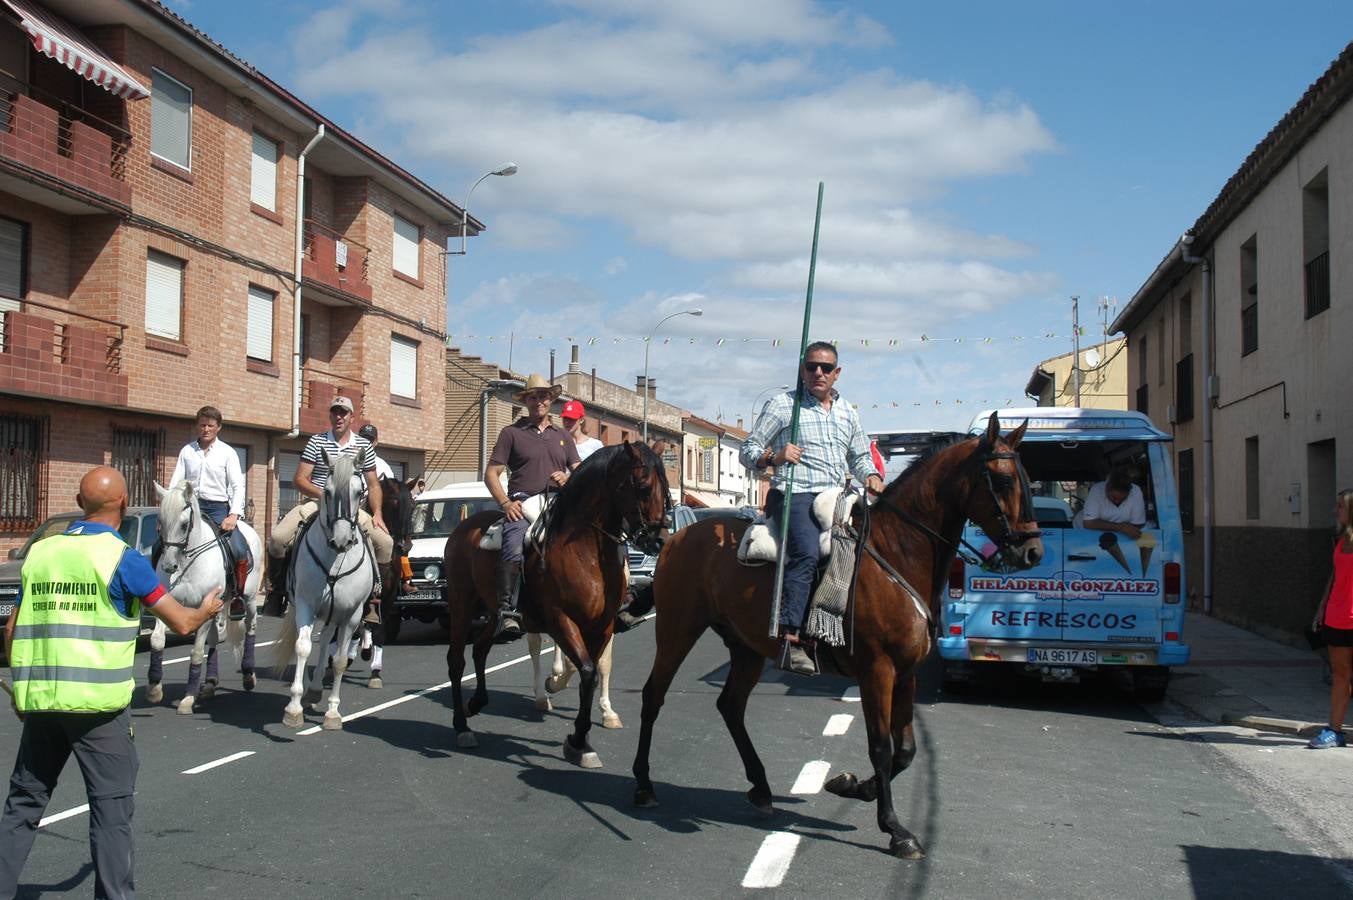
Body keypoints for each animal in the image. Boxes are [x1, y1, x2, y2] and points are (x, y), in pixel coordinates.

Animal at [149, 481, 262, 714]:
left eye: (184, 524)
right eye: (160, 522)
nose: (169, 566)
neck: (187, 564)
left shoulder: (205, 607)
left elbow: (196, 651)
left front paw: (188, 698)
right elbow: (156, 640)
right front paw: (154, 688)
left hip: (249, 599)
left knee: (250, 627)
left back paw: (248, 675)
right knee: (215, 639)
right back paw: (210, 683)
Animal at [273, 452, 376, 736]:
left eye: (359, 491)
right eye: (327, 492)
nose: (341, 540)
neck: (336, 559)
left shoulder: (352, 614)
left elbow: (339, 660)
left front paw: (332, 713)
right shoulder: (305, 605)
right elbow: (302, 647)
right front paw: (293, 708)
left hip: (334, 613)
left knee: (326, 640)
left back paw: (317, 689)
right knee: (309, 642)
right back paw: (310, 690)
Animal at [441, 438, 668, 763]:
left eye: (666, 488)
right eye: (643, 486)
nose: (659, 540)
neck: (586, 551)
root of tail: (463, 526)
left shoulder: (601, 626)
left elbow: (592, 672)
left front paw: (581, 740)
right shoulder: (561, 620)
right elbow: (585, 670)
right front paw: (578, 736)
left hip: (493, 611)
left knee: (481, 649)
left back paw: (477, 702)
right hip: (462, 606)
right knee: (456, 660)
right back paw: (462, 726)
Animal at [627, 414, 1039, 855]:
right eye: (1003, 481)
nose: (1033, 551)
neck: (896, 555)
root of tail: (676, 537)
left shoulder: (906, 674)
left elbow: (906, 750)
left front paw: (854, 786)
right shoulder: (877, 671)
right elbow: (881, 747)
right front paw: (894, 827)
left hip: (746, 648)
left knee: (731, 706)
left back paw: (760, 787)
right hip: (677, 630)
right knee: (653, 696)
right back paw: (644, 784)